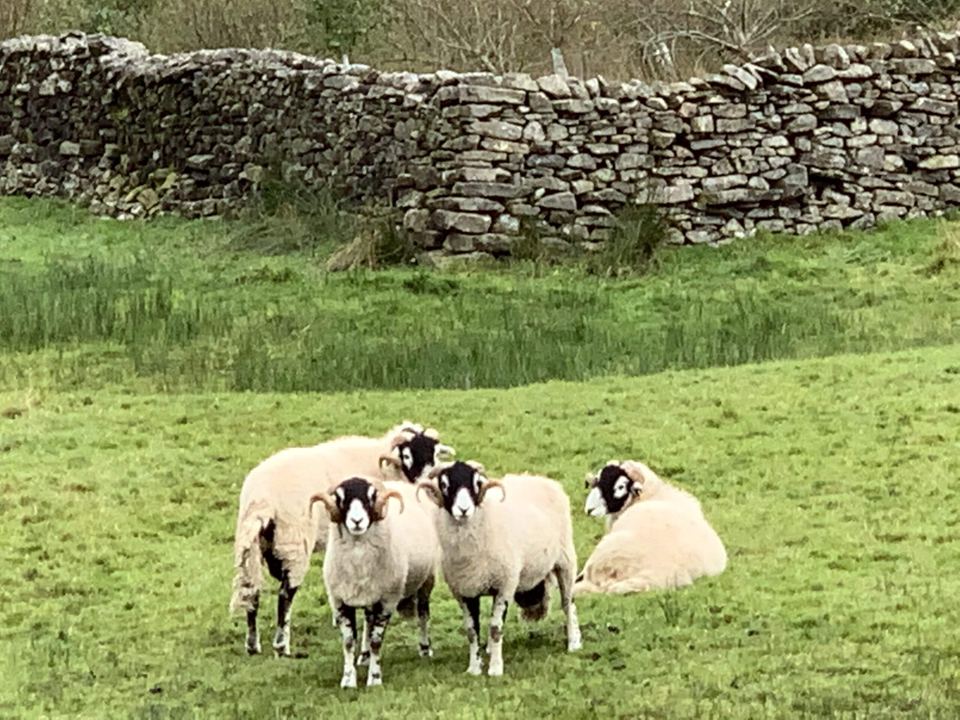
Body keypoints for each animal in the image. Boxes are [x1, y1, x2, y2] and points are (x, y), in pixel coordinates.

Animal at [229, 422, 453, 657]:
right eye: (407, 455)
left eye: (435, 453)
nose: (425, 483)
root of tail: (261, 500)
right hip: (294, 543)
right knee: (285, 594)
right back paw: (282, 645)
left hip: (252, 544)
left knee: (251, 590)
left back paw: (252, 644)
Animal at [312, 476, 440, 688]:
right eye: (340, 498)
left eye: (371, 497)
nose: (357, 521)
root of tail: (400, 483)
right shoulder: (339, 600)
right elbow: (348, 641)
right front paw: (348, 680)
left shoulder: (387, 600)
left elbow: (376, 641)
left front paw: (374, 678)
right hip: (369, 594)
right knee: (368, 621)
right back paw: (364, 656)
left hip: (427, 580)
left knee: (423, 615)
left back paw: (424, 649)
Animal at [417, 460, 582, 678]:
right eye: (444, 484)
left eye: (476, 483)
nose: (463, 509)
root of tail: (538, 478)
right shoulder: (464, 591)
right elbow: (471, 631)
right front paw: (474, 667)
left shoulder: (505, 585)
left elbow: (496, 628)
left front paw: (495, 668)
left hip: (565, 560)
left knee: (568, 604)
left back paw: (573, 641)